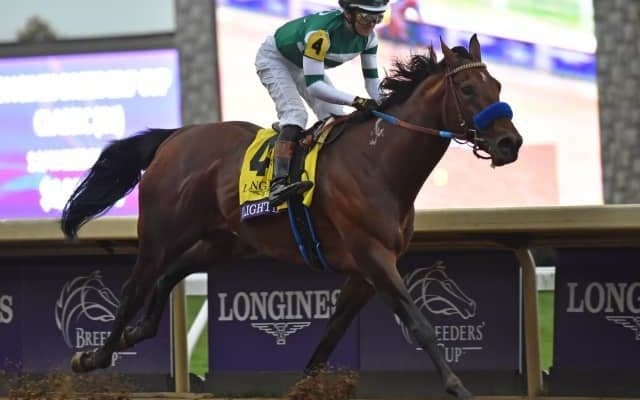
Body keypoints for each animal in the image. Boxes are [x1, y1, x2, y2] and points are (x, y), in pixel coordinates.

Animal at [60, 35, 522, 399]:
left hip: (225, 241)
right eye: (467, 89)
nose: (510, 143)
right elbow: (420, 324)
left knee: (169, 275)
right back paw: (93, 357)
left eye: (497, 84)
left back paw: (134, 334)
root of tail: (175, 137)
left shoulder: (363, 273)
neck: (378, 162)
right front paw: (459, 387)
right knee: (133, 289)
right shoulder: (373, 255)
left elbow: (329, 337)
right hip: (162, 232)